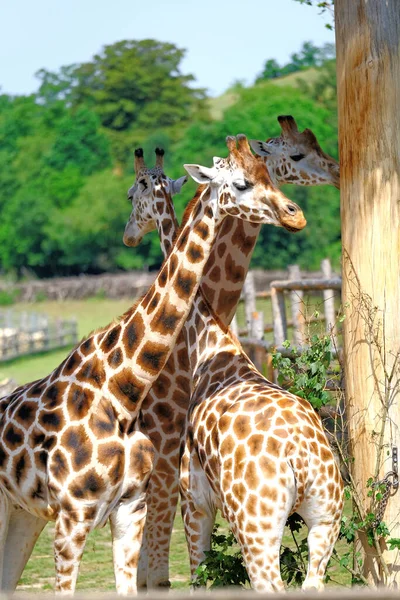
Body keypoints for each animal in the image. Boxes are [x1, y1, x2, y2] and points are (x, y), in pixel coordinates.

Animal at [0, 137, 296, 596]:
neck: (123, 391)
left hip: (25, 513)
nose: (294, 214)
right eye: (243, 182)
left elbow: (146, 580)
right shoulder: (77, 514)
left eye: (267, 173)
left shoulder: (135, 503)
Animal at [124, 115, 340, 588]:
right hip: (325, 520)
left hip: (255, 526)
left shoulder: (195, 501)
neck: (209, 340)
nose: (295, 214)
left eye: (132, 195)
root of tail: (301, 457)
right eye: (244, 181)